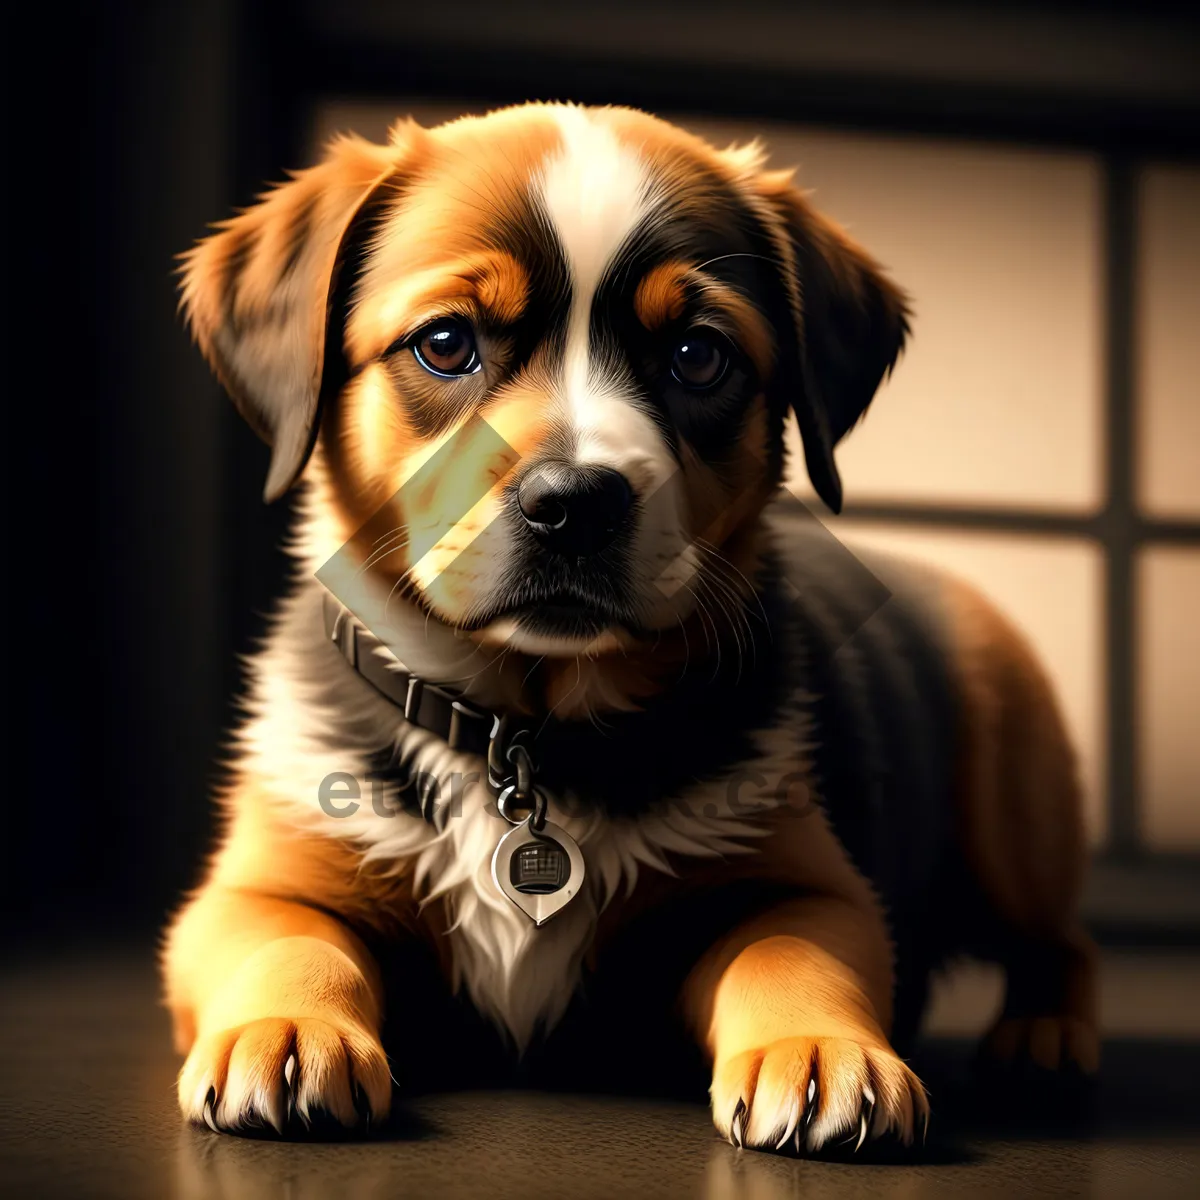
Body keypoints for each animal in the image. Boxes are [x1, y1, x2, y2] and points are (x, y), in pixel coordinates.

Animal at [166, 103, 1099, 1152]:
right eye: (445, 343)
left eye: (698, 355)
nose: (574, 503)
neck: (529, 732)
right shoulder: (255, 884)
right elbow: (288, 941)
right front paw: (284, 1029)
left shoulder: (804, 882)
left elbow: (792, 952)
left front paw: (822, 1048)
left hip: (1015, 804)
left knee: (1061, 939)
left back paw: (1045, 1037)